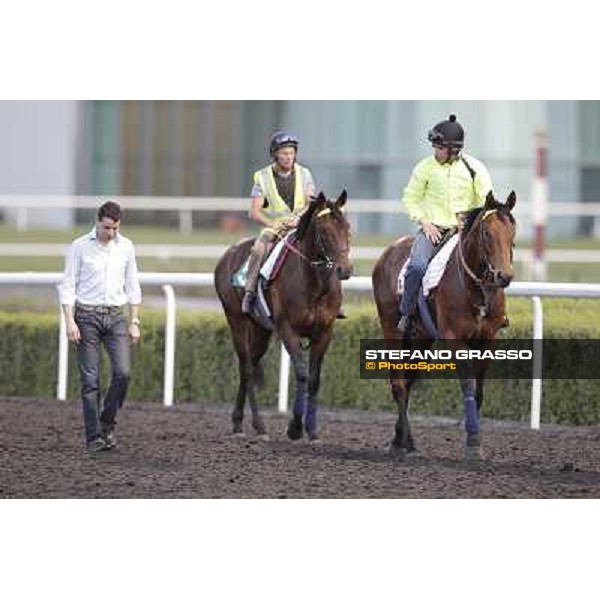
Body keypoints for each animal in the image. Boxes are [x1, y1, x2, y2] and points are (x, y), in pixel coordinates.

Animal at [214, 191, 352, 440]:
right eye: (325, 231)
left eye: (347, 227)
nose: (344, 269)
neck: (314, 285)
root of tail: (227, 255)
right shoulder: (288, 329)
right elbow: (302, 374)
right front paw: (295, 427)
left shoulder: (324, 332)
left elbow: (314, 379)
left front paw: (312, 429)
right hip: (236, 319)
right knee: (246, 368)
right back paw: (255, 424)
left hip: (261, 329)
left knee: (249, 365)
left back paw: (242, 422)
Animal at [370, 192, 516, 460]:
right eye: (486, 233)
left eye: (512, 230)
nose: (504, 276)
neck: (476, 288)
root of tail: (387, 252)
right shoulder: (454, 338)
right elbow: (468, 385)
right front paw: (472, 442)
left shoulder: (488, 339)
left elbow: (479, 390)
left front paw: (475, 441)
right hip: (391, 327)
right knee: (398, 384)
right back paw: (407, 442)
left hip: (422, 337)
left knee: (408, 381)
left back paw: (399, 439)